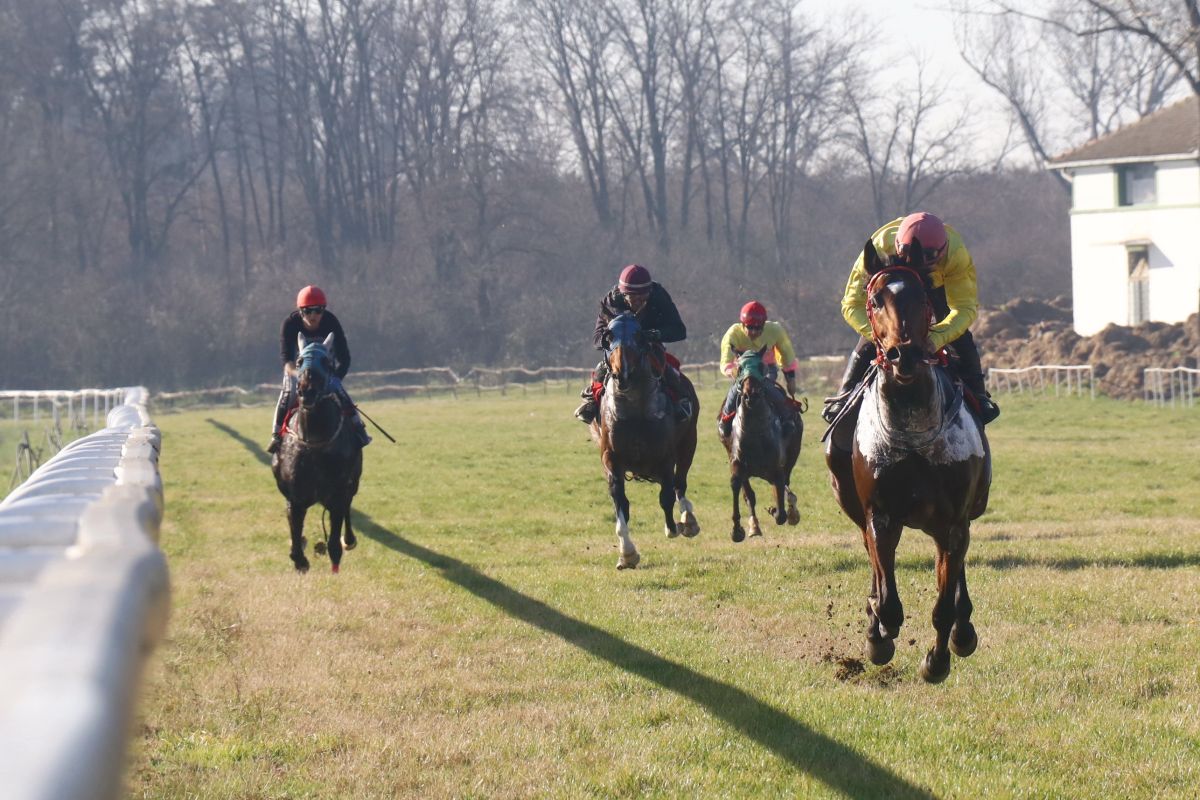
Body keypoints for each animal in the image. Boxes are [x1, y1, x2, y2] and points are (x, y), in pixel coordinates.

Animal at [271, 333, 360, 575]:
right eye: (299, 361)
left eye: (327, 362)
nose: (307, 390)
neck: (315, 444)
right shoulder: (296, 496)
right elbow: (294, 528)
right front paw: (300, 558)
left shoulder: (337, 493)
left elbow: (334, 541)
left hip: (354, 482)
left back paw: (349, 540)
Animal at [592, 311, 700, 568]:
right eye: (608, 338)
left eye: (639, 336)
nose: (622, 373)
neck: (634, 412)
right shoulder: (612, 460)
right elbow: (620, 502)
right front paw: (627, 553)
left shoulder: (665, 457)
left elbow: (667, 496)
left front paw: (673, 528)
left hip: (688, 444)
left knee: (680, 483)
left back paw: (688, 519)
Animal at [715, 347, 801, 542]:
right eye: (739, 368)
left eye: (761, 367)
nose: (751, 395)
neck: (755, 434)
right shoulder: (738, 464)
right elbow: (742, 490)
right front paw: (740, 529)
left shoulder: (777, 468)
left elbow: (780, 511)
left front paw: (776, 510)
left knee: (785, 484)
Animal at [825, 239, 993, 681]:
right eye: (875, 299)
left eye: (924, 299)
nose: (905, 356)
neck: (914, 435)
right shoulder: (881, 516)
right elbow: (888, 605)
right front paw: (878, 638)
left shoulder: (953, 521)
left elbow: (943, 605)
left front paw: (938, 660)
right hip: (856, 507)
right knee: (873, 565)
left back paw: (963, 630)